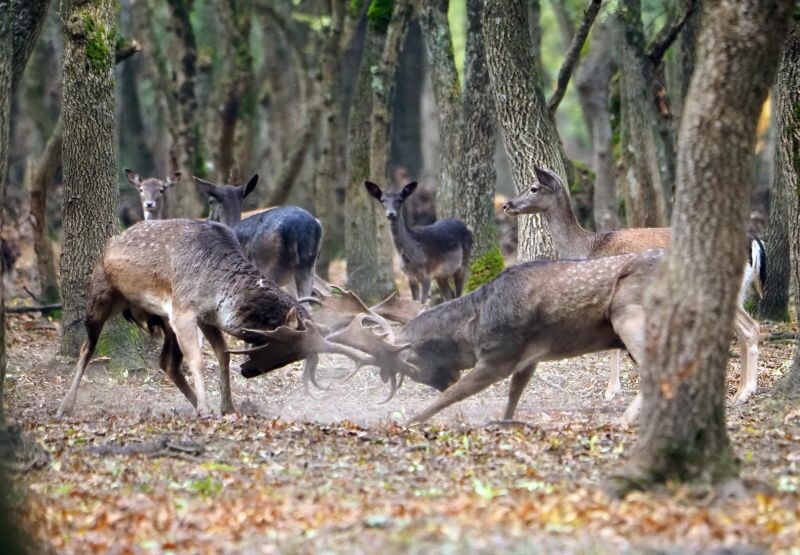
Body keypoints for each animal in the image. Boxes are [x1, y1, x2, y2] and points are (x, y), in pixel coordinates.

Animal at [54, 219, 374, 420]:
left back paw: (194, 402)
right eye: (284, 346)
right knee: (87, 347)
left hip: (160, 320)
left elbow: (222, 355)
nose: (250, 372)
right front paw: (209, 408)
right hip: (102, 294)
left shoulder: (206, 317)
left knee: (166, 362)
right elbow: (197, 358)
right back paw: (64, 406)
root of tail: (110, 243)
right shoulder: (183, 309)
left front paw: (228, 407)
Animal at [504, 164, 764, 412]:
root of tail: (754, 241)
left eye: (534, 187)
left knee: (750, 327)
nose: (507, 205)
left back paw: (745, 392)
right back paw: (740, 391)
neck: (589, 247)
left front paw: (612, 391)